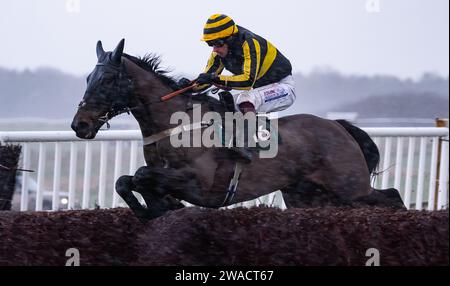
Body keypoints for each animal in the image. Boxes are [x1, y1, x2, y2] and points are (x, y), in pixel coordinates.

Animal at [71, 38, 408, 221]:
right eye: (88, 78)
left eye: (107, 80)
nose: (79, 124)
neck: (176, 125)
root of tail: (339, 127)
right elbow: (125, 181)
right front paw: (156, 207)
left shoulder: (201, 183)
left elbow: (140, 176)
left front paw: (159, 206)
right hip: (306, 195)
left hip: (350, 187)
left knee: (392, 196)